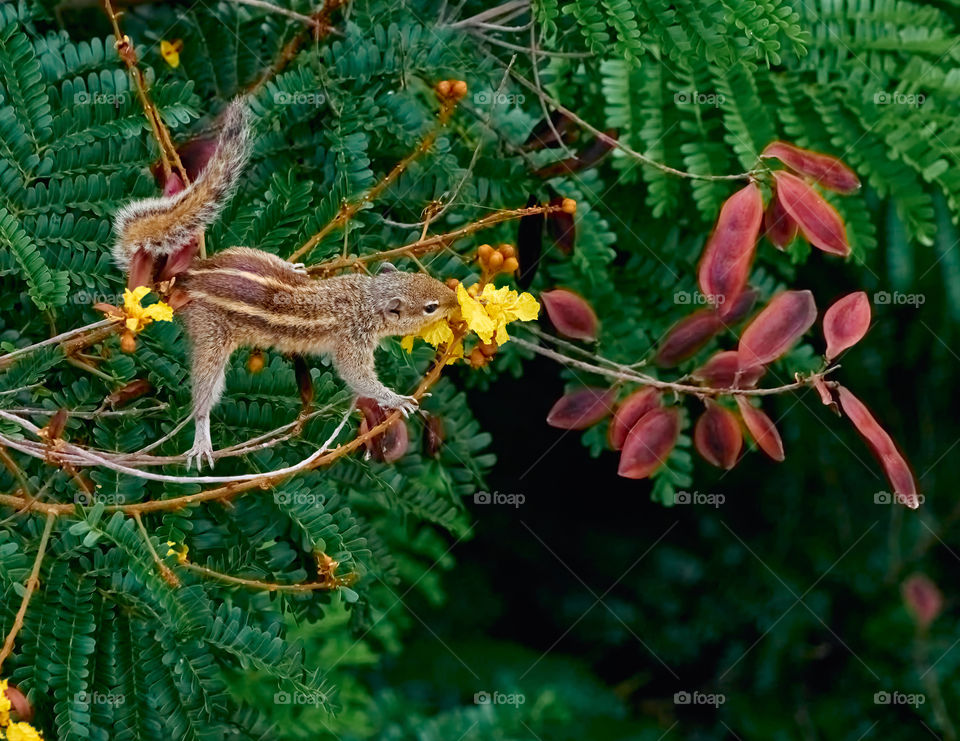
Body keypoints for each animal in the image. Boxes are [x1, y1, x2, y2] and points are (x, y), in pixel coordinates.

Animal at [109, 98, 462, 468]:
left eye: (427, 278)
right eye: (430, 307)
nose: (454, 300)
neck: (367, 297)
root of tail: (193, 274)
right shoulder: (353, 343)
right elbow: (359, 378)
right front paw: (397, 399)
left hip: (246, 252)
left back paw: (294, 266)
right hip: (210, 338)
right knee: (204, 394)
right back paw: (201, 440)